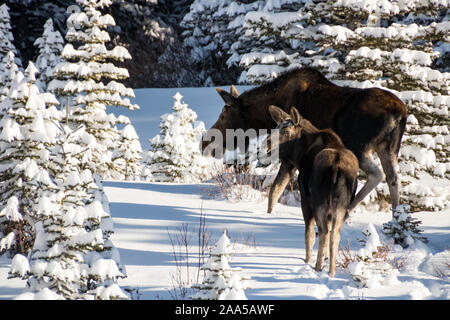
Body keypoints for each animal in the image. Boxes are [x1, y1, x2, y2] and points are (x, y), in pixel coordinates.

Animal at [202, 67, 410, 215]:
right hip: (389, 148)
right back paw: (396, 218)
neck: (265, 119)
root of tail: (400, 113)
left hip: (359, 147)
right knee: (393, 179)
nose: (205, 142)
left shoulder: (289, 157)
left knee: (377, 174)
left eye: (224, 115)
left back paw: (350, 209)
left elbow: (274, 190)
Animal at [268, 105, 358, 278]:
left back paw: (317, 266)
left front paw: (307, 260)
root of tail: (336, 167)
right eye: (277, 127)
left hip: (318, 201)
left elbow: (308, 233)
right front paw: (325, 258)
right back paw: (331, 271)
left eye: (286, 130)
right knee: (334, 233)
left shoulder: (305, 198)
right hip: (342, 204)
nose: (267, 146)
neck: (301, 154)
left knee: (323, 232)